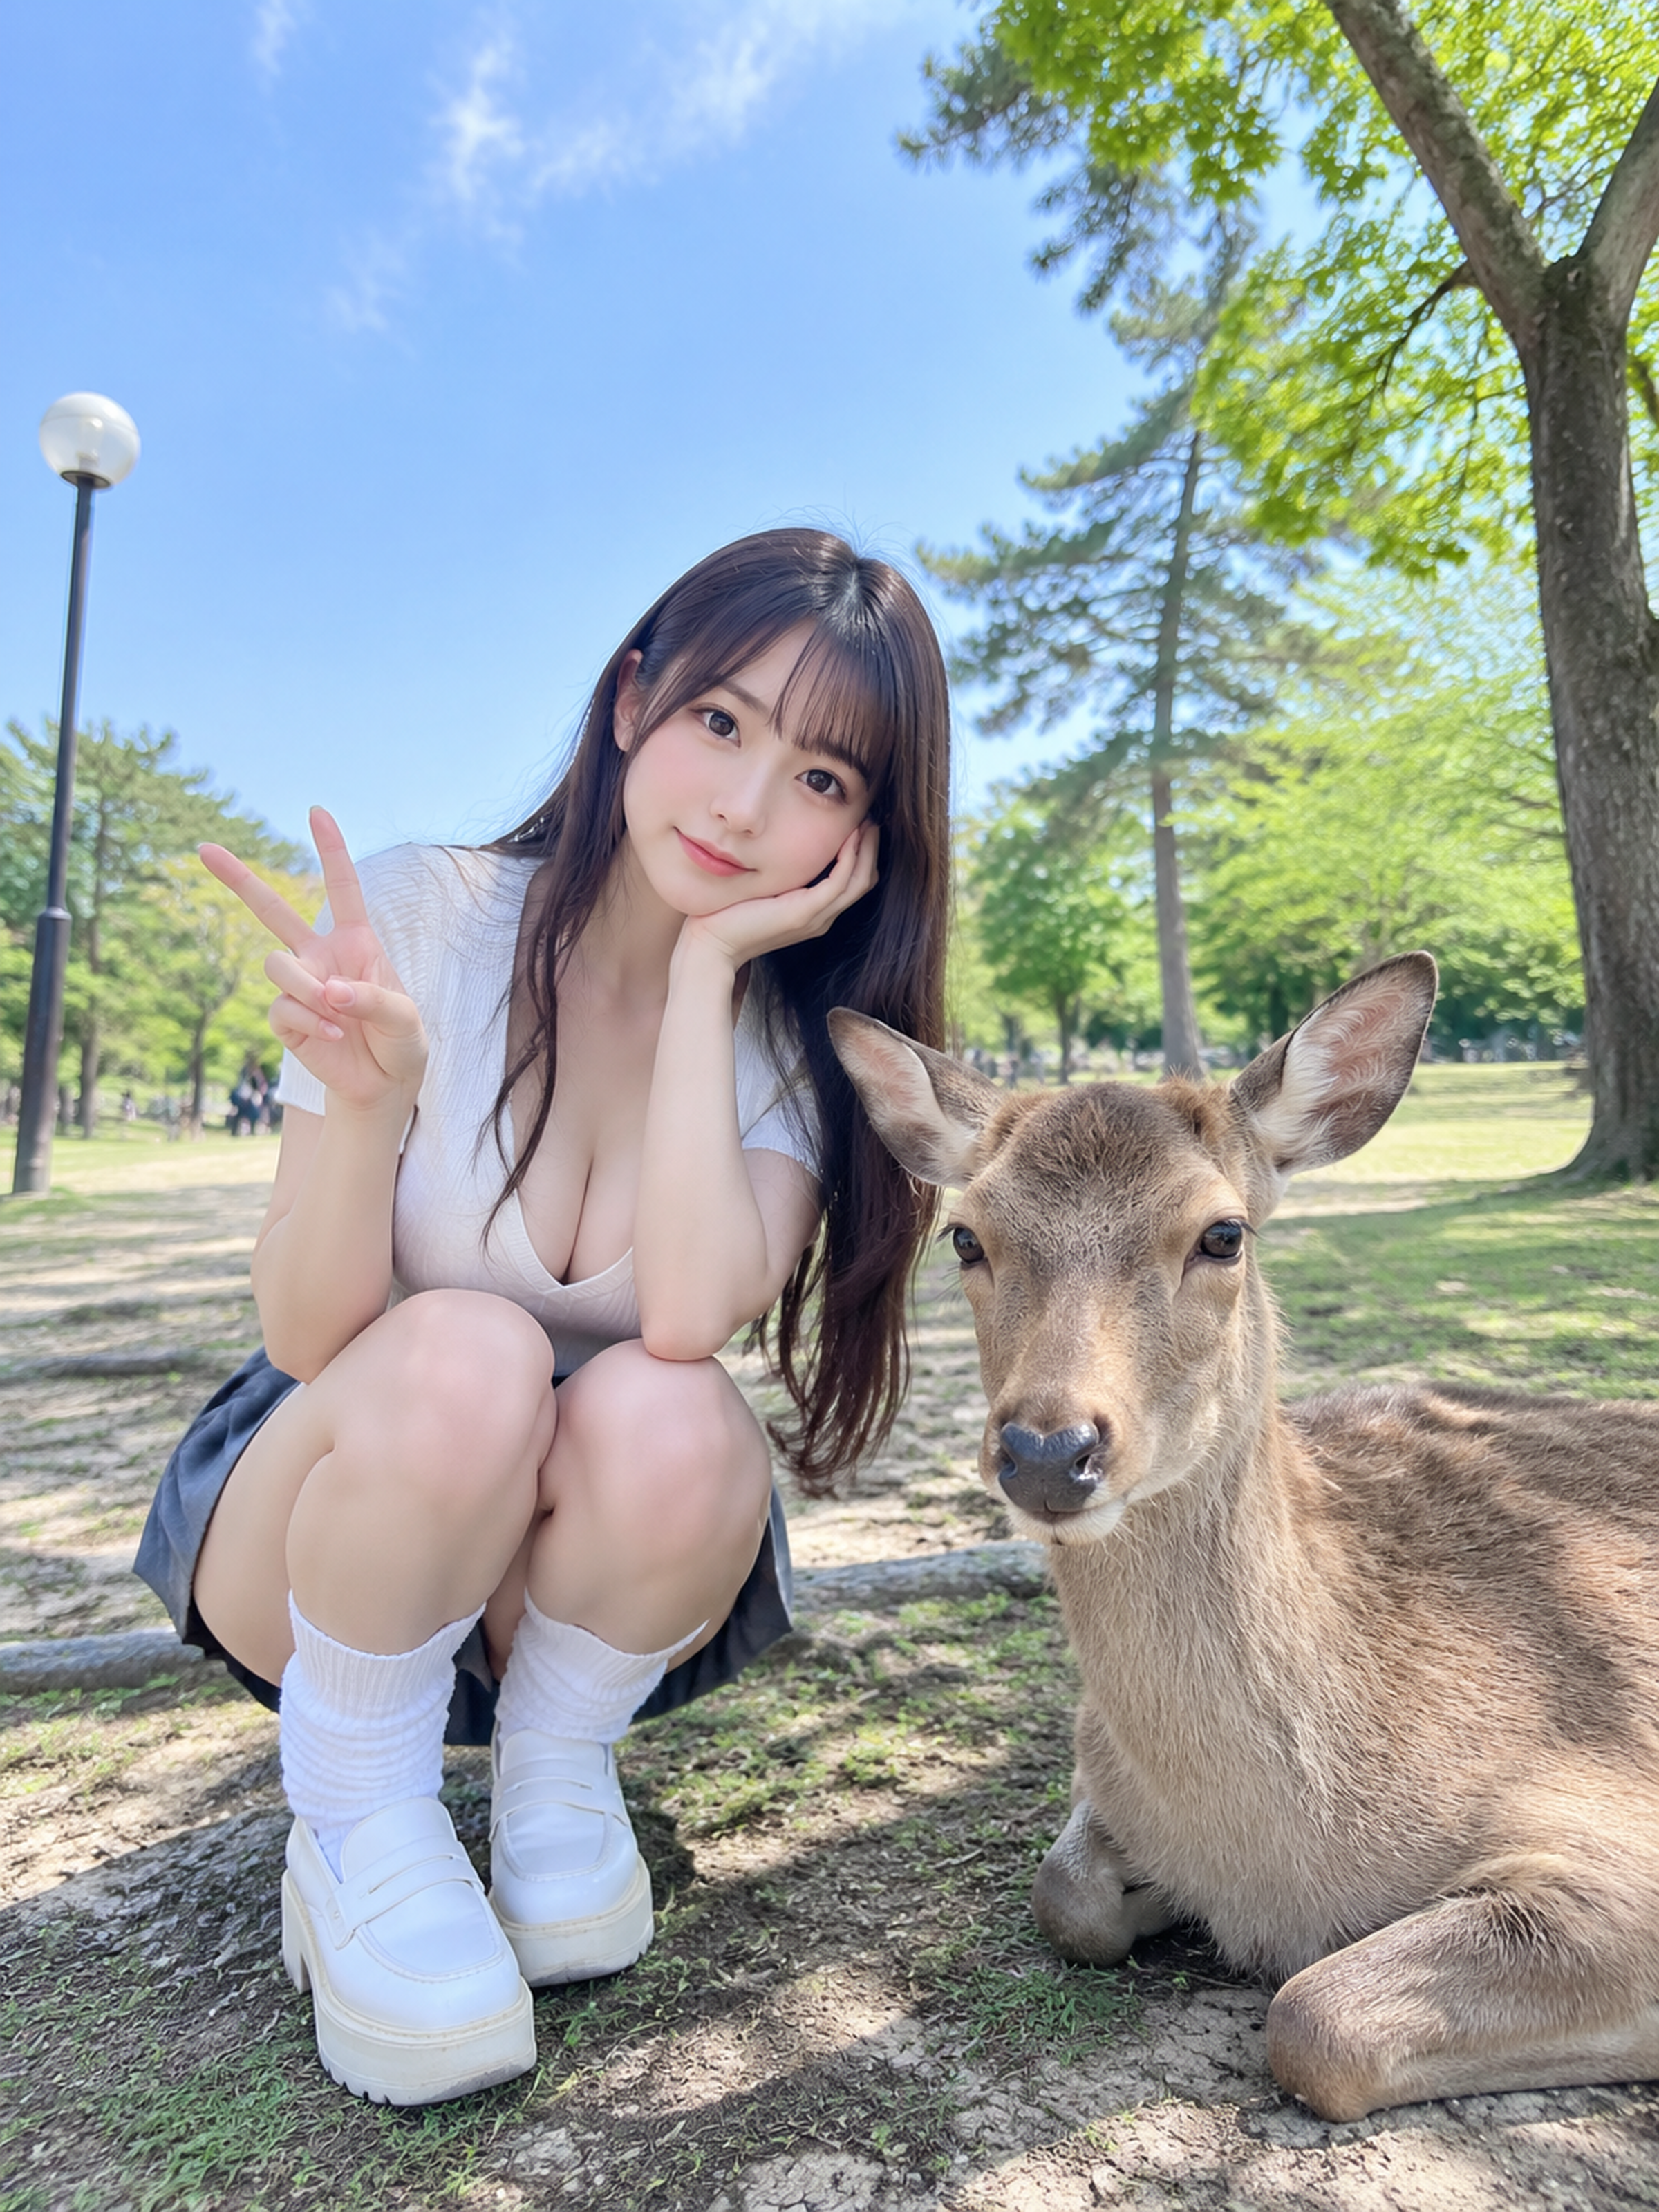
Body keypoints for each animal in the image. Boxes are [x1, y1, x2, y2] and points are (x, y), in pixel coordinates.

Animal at [829, 956, 1659, 2123]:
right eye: (965, 1235)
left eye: (1223, 1233)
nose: (1047, 1452)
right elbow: (1065, 1895)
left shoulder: (1610, 1818)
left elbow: (1313, 2017)